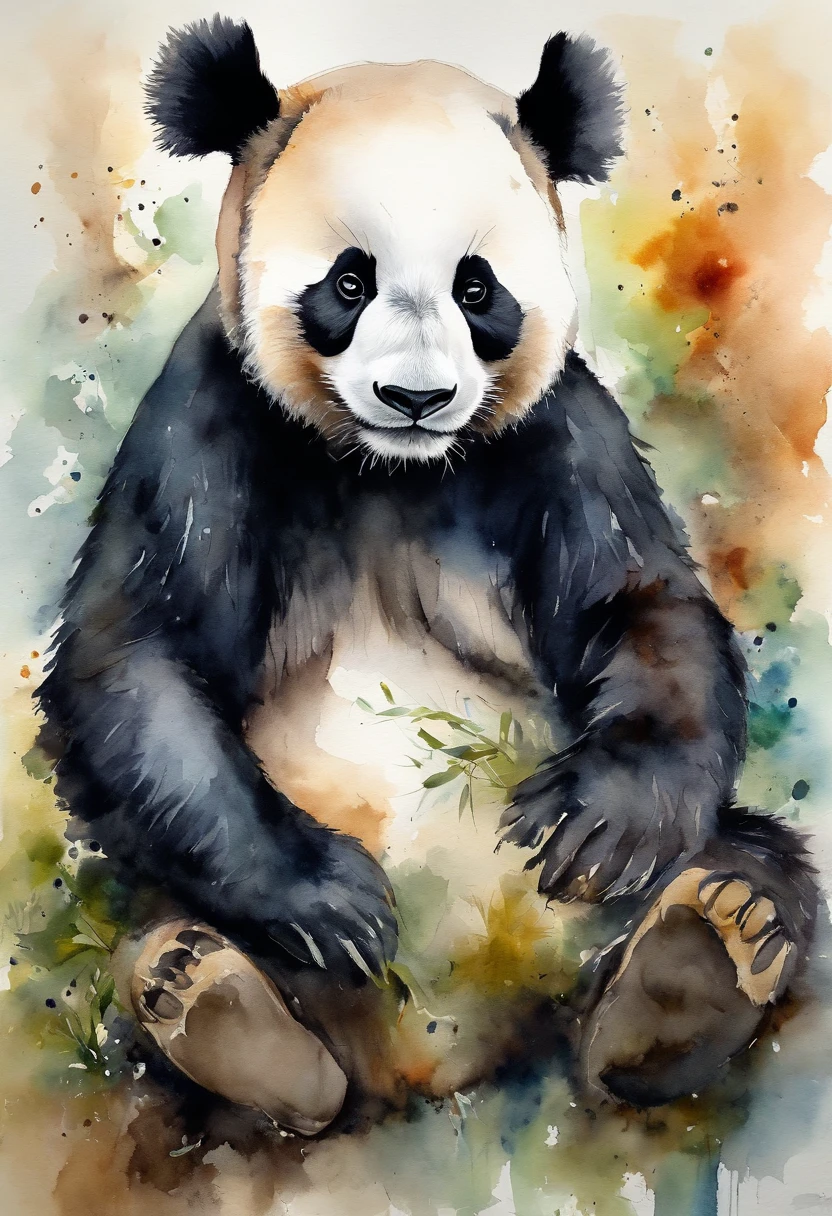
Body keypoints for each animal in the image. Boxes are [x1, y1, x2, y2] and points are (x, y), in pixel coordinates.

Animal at [38, 15, 818, 1132]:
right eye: (349, 282)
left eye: (475, 287)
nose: (417, 397)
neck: (386, 469)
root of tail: (432, 1059)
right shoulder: (206, 419)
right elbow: (137, 650)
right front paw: (331, 898)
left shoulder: (555, 431)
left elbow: (637, 604)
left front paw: (596, 821)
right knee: (145, 934)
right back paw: (216, 1003)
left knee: (760, 862)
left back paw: (701, 952)